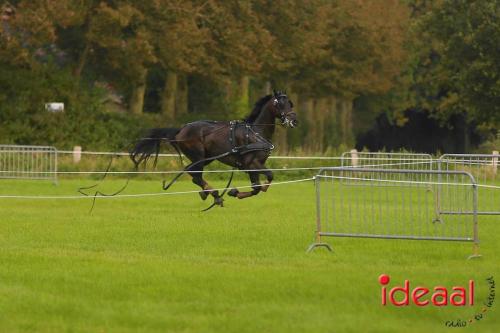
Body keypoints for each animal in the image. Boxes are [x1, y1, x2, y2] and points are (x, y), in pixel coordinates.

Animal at [131, 89, 298, 206]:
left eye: (290, 103)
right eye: (279, 104)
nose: (294, 121)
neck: (255, 132)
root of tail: (180, 130)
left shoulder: (254, 166)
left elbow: (258, 187)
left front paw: (235, 192)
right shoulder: (252, 164)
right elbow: (268, 177)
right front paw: (233, 192)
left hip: (207, 158)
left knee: (193, 174)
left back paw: (208, 193)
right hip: (198, 156)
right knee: (195, 174)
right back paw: (215, 194)